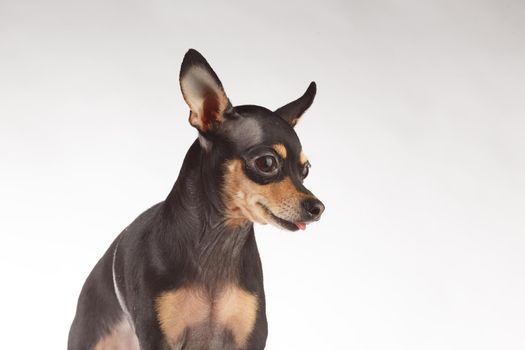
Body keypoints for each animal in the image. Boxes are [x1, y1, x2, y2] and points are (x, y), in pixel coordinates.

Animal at [68, 49, 324, 350]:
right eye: (267, 163)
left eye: (305, 170)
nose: (317, 207)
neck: (219, 240)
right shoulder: (158, 339)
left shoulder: (251, 339)